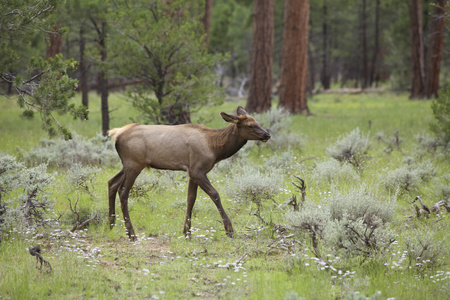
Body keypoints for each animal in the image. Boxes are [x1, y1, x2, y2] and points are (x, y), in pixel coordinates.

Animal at [108, 106, 270, 240]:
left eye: (257, 122)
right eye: (250, 125)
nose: (267, 135)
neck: (215, 148)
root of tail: (116, 134)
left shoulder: (192, 172)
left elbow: (190, 199)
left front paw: (187, 232)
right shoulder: (197, 170)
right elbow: (215, 194)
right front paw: (229, 230)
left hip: (128, 165)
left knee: (112, 183)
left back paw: (111, 223)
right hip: (134, 164)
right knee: (123, 191)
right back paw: (131, 234)